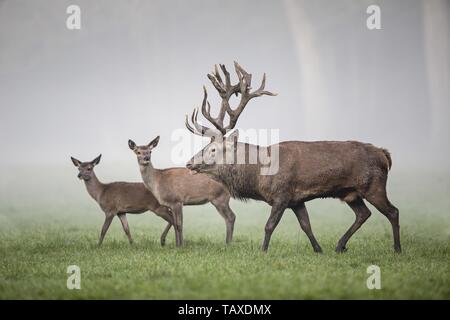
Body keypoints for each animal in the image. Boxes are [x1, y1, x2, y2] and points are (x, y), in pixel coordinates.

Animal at [185, 62, 400, 252]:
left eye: (213, 149)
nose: (189, 163)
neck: (259, 175)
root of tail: (384, 154)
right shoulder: (297, 200)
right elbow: (306, 226)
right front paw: (318, 249)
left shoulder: (282, 194)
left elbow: (269, 225)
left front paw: (263, 251)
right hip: (351, 192)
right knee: (364, 214)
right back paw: (340, 245)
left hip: (373, 185)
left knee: (393, 211)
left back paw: (397, 249)